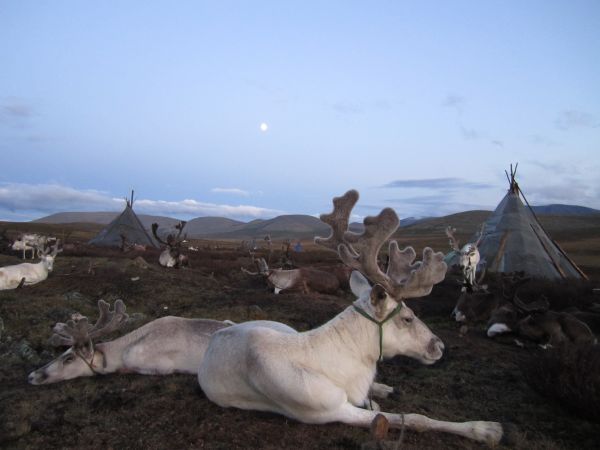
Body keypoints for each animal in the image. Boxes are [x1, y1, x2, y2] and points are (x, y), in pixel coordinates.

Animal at [199, 190, 512, 447]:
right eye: (408, 317)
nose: (439, 346)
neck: (343, 365)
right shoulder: (334, 409)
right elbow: (414, 418)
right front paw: (486, 429)